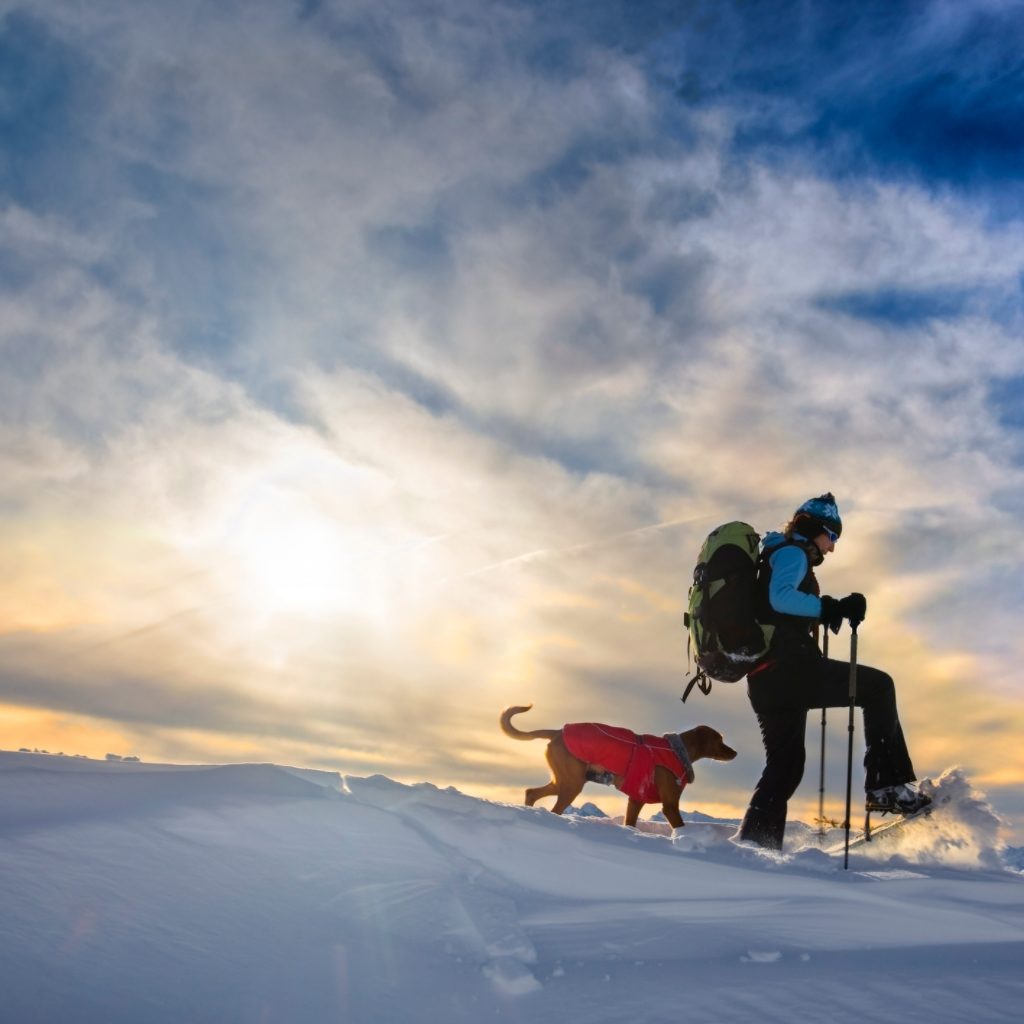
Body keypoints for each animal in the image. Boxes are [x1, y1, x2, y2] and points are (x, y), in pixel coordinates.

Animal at [497, 704, 733, 831]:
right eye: (720, 740)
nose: (735, 752)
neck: (677, 751)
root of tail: (557, 732)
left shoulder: (636, 799)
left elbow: (630, 821)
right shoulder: (670, 805)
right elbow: (678, 824)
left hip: (564, 780)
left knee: (531, 792)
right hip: (572, 783)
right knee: (553, 806)